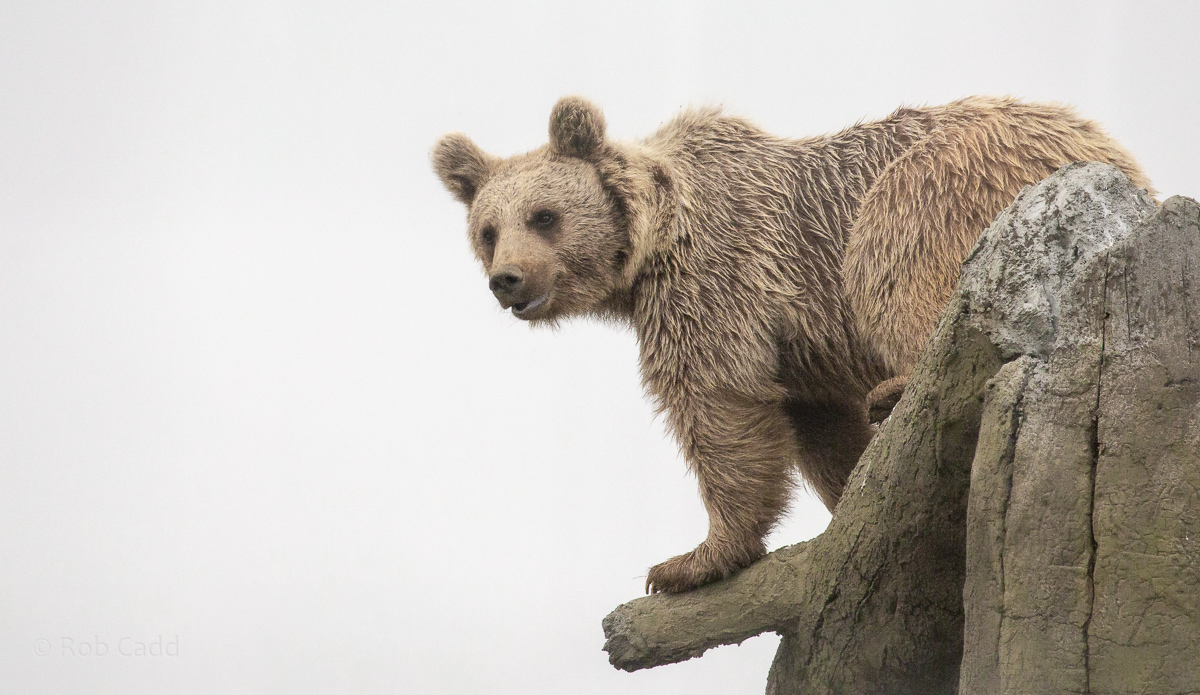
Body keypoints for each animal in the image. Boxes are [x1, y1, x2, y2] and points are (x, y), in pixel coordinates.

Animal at [432, 96, 1152, 594]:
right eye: (488, 229)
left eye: (544, 216)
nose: (508, 279)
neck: (652, 245)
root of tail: (1123, 167)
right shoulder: (798, 349)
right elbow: (819, 427)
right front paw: (845, 500)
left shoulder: (716, 281)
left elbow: (719, 406)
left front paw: (690, 560)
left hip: (951, 179)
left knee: (896, 254)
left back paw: (900, 382)